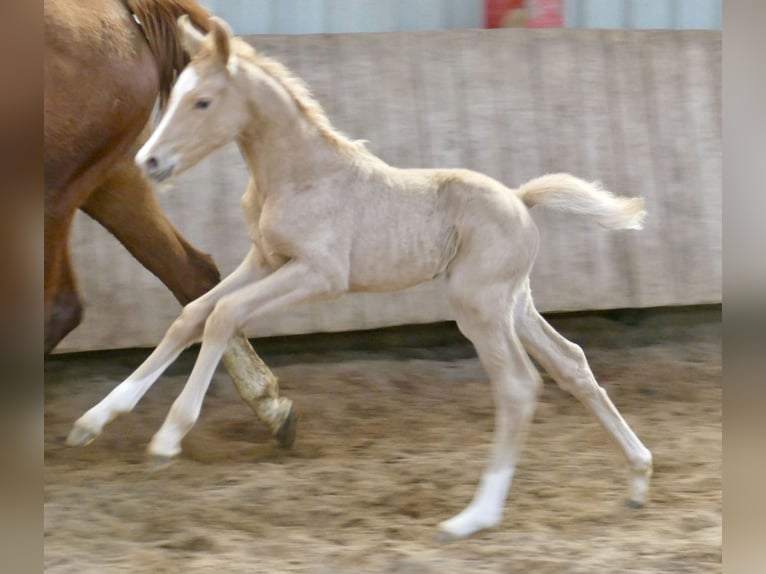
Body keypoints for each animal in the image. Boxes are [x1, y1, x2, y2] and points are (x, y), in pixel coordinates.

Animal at [45, 0, 296, 448]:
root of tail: (121, 10)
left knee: (56, 306)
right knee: (191, 273)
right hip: (112, 177)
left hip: (55, 184)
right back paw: (269, 405)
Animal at [67, 16, 656, 540]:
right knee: (571, 363)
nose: (149, 161)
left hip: (479, 306)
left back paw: (474, 517)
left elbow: (223, 316)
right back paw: (638, 478)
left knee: (518, 385)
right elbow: (192, 314)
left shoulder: (317, 274)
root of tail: (519, 198)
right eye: (175, 96)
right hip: (513, 304)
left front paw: (167, 438)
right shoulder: (264, 260)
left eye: (203, 101)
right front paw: (94, 420)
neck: (298, 175)